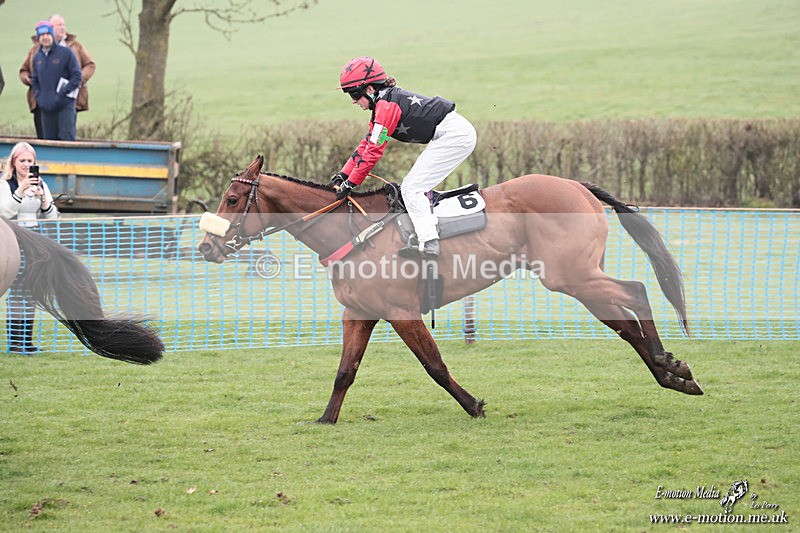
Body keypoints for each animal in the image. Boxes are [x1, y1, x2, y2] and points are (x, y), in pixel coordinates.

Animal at [198, 155, 702, 424]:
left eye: (232, 199)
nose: (206, 247)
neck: (353, 231)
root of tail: (576, 184)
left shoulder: (401, 312)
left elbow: (435, 365)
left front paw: (473, 404)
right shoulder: (359, 313)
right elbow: (345, 371)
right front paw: (326, 418)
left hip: (570, 274)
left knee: (636, 291)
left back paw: (666, 361)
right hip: (577, 280)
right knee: (625, 323)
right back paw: (674, 375)